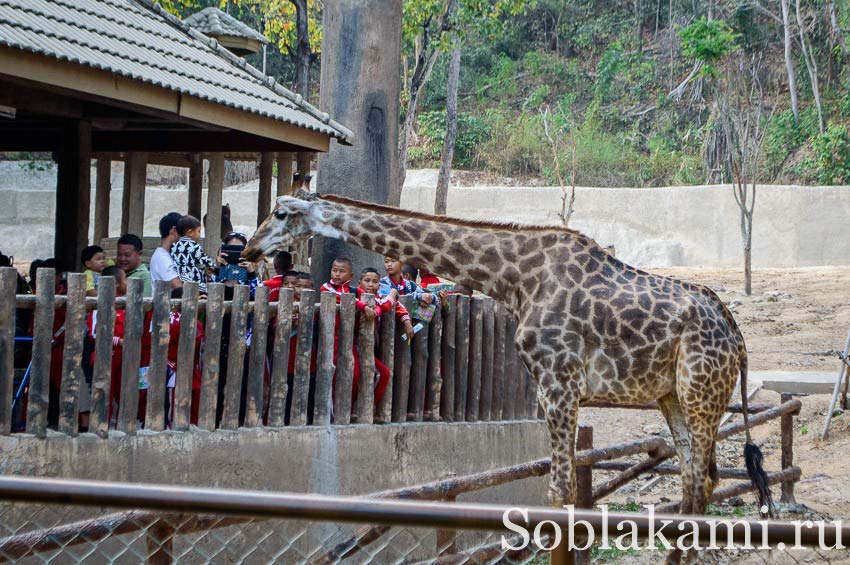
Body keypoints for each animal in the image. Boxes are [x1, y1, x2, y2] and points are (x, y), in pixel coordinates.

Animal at [243, 194, 768, 552]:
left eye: (281, 213)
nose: (249, 248)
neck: (516, 279)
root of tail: (739, 339)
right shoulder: (554, 387)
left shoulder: (559, 382)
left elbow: (559, 491)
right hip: (672, 396)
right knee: (696, 478)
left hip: (701, 392)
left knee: (701, 476)